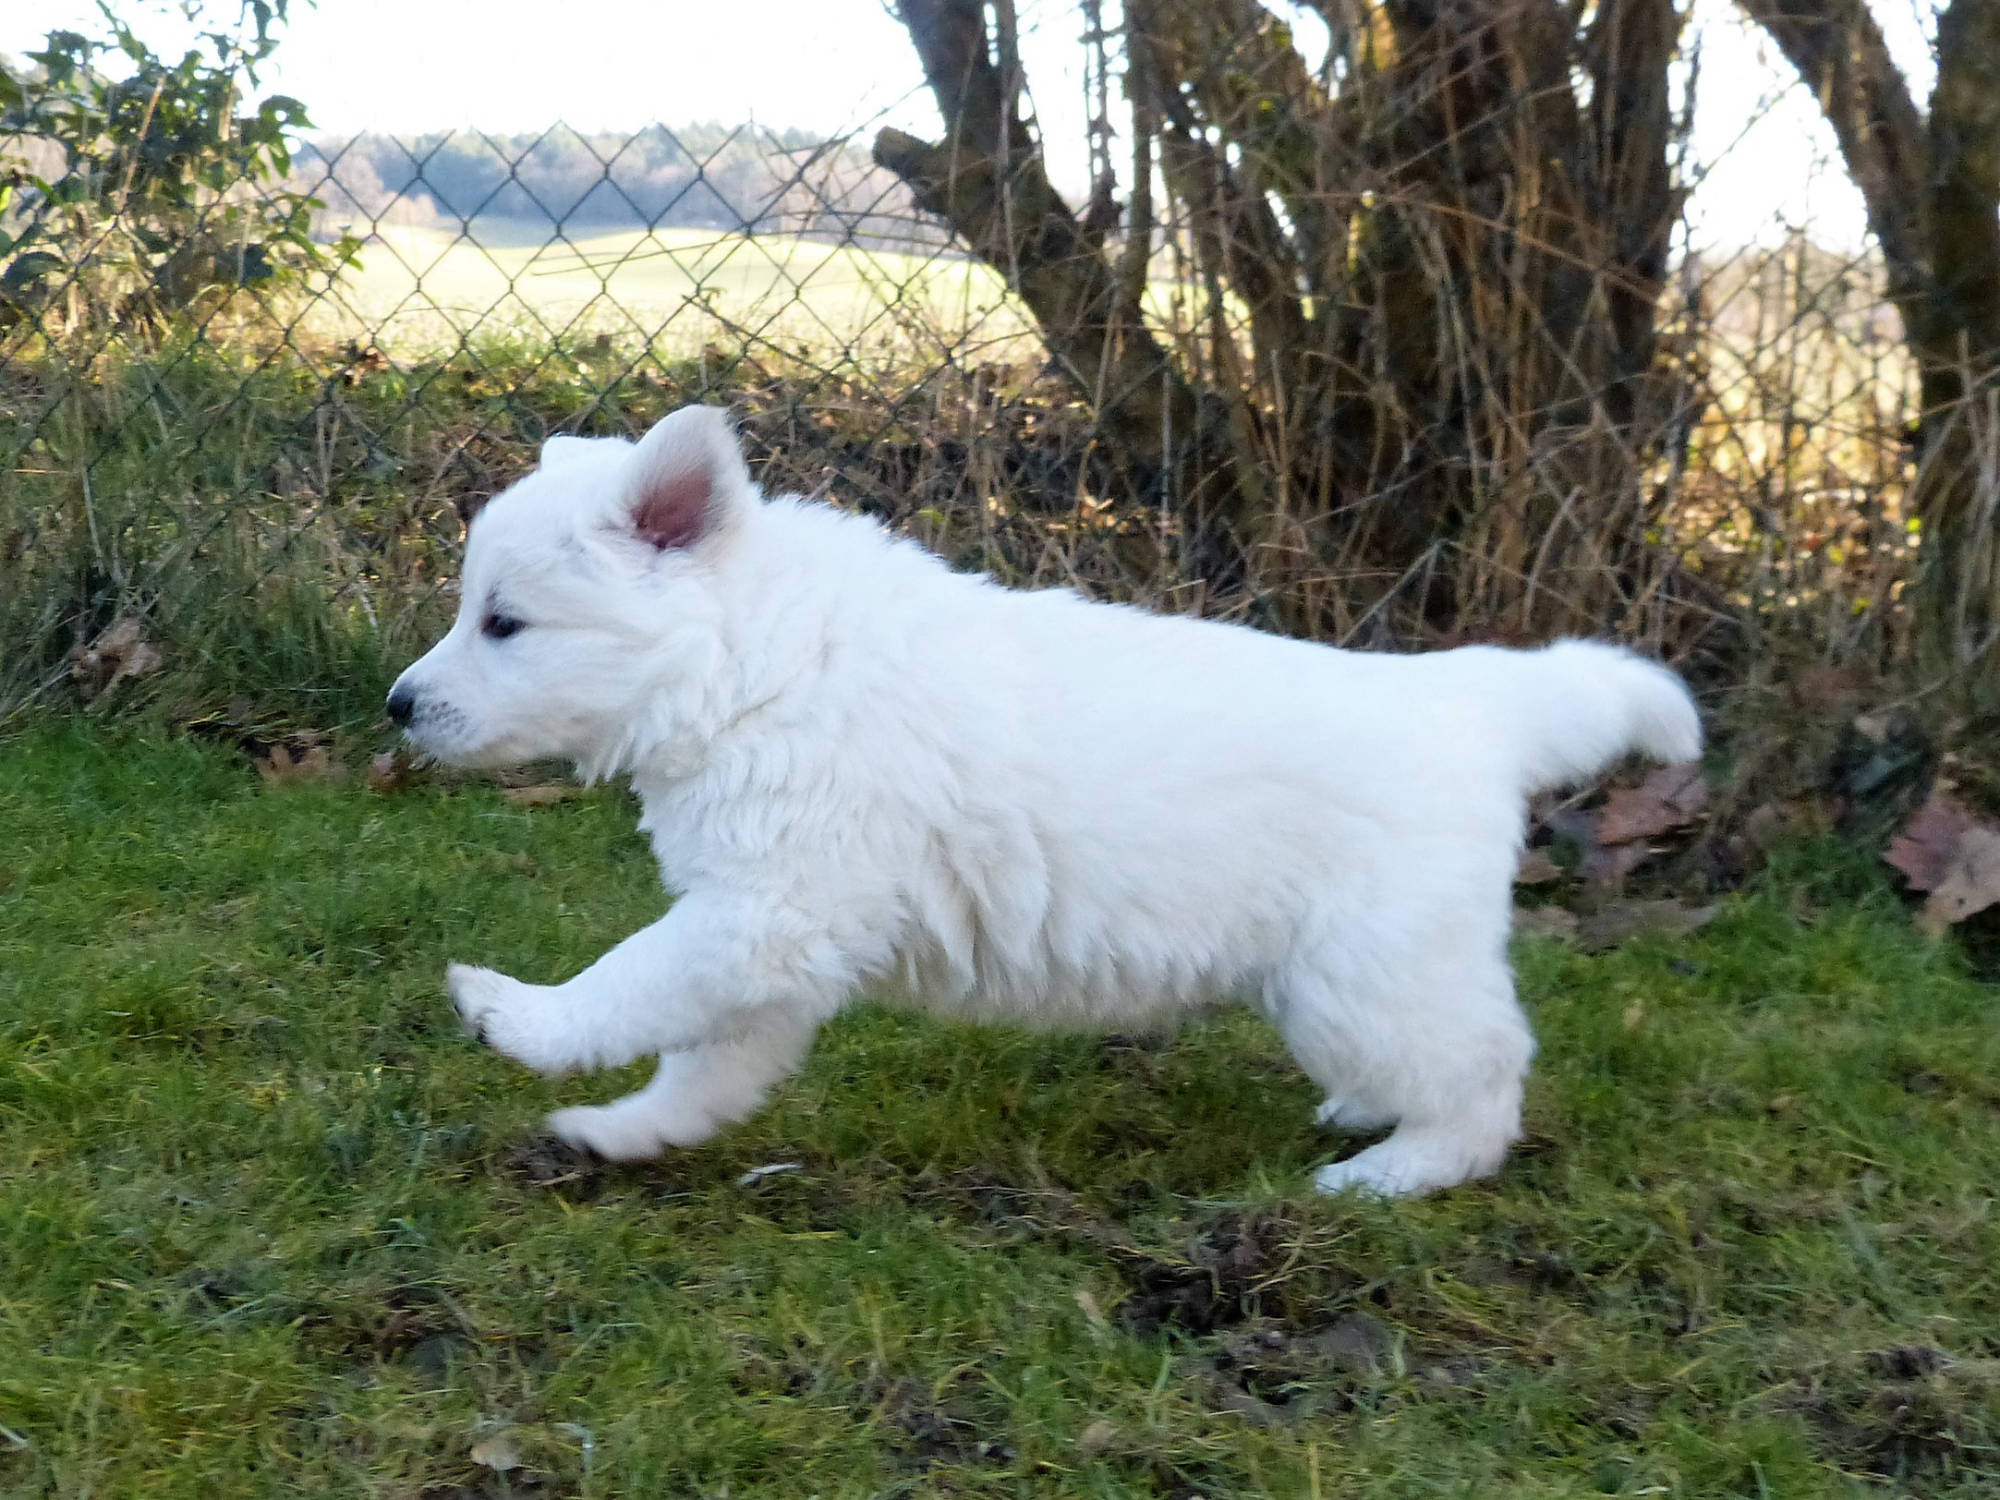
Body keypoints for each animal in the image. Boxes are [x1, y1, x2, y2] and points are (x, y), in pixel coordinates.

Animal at [382, 406, 1696, 1208]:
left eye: (504, 623)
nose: (397, 706)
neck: (756, 663)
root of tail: (1473, 698)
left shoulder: (765, 914)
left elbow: (623, 980)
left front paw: (517, 1017)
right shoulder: (771, 934)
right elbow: (704, 1063)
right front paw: (625, 1132)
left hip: (1366, 974)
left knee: (1486, 1074)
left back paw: (1394, 1172)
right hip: (1337, 977)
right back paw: (1363, 1119)